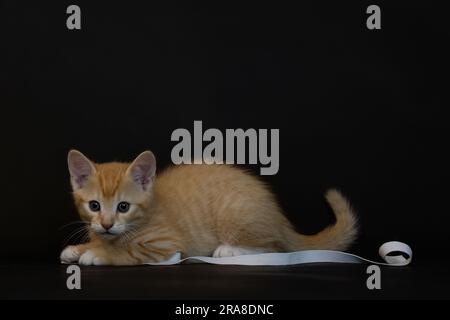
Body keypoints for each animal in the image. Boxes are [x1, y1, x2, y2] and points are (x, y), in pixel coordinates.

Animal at [60, 150, 358, 264]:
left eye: (123, 206)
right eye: (94, 205)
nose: (107, 223)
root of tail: (278, 217)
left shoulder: (166, 244)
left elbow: (127, 251)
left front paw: (98, 254)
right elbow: (100, 241)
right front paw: (80, 248)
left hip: (235, 212)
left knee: (275, 247)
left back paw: (229, 249)